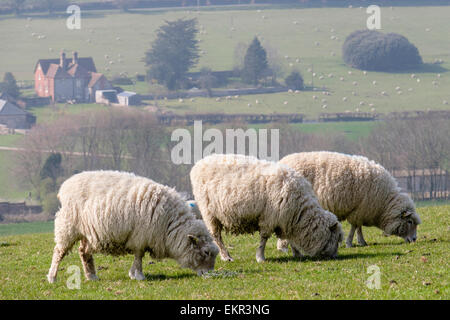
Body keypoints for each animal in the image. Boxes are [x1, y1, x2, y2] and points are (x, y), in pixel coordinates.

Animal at [46, 170, 219, 282]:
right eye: (205, 252)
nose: (209, 274)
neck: (170, 224)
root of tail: (65, 186)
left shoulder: (142, 237)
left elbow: (138, 256)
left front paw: (134, 274)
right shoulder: (140, 237)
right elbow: (139, 256)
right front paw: (138, 275)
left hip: (87, 231)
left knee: (84, 252)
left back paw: (92, 276)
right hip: (67, 226)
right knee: (59, 252)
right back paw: (52, 277)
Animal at [189, 154, 342, 262]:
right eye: (335, 238)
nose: (335, 256)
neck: (300, 211)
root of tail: (199, 164)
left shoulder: (286, 220)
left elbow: (289, 239)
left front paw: (297, 254)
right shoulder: (269, 217)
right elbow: (264, 238)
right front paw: (260, 257)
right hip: (209, 213)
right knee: (216, 236)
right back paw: (226, 256)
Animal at [278, 152, 422, 250]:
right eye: (409, 221)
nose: (414, 239)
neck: (385, 202)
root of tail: (282, 161)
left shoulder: (361, 210)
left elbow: (358, 227)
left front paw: (360, 241)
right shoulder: (359, 209)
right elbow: (355, 227)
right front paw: (350, 242)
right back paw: (283, 247)